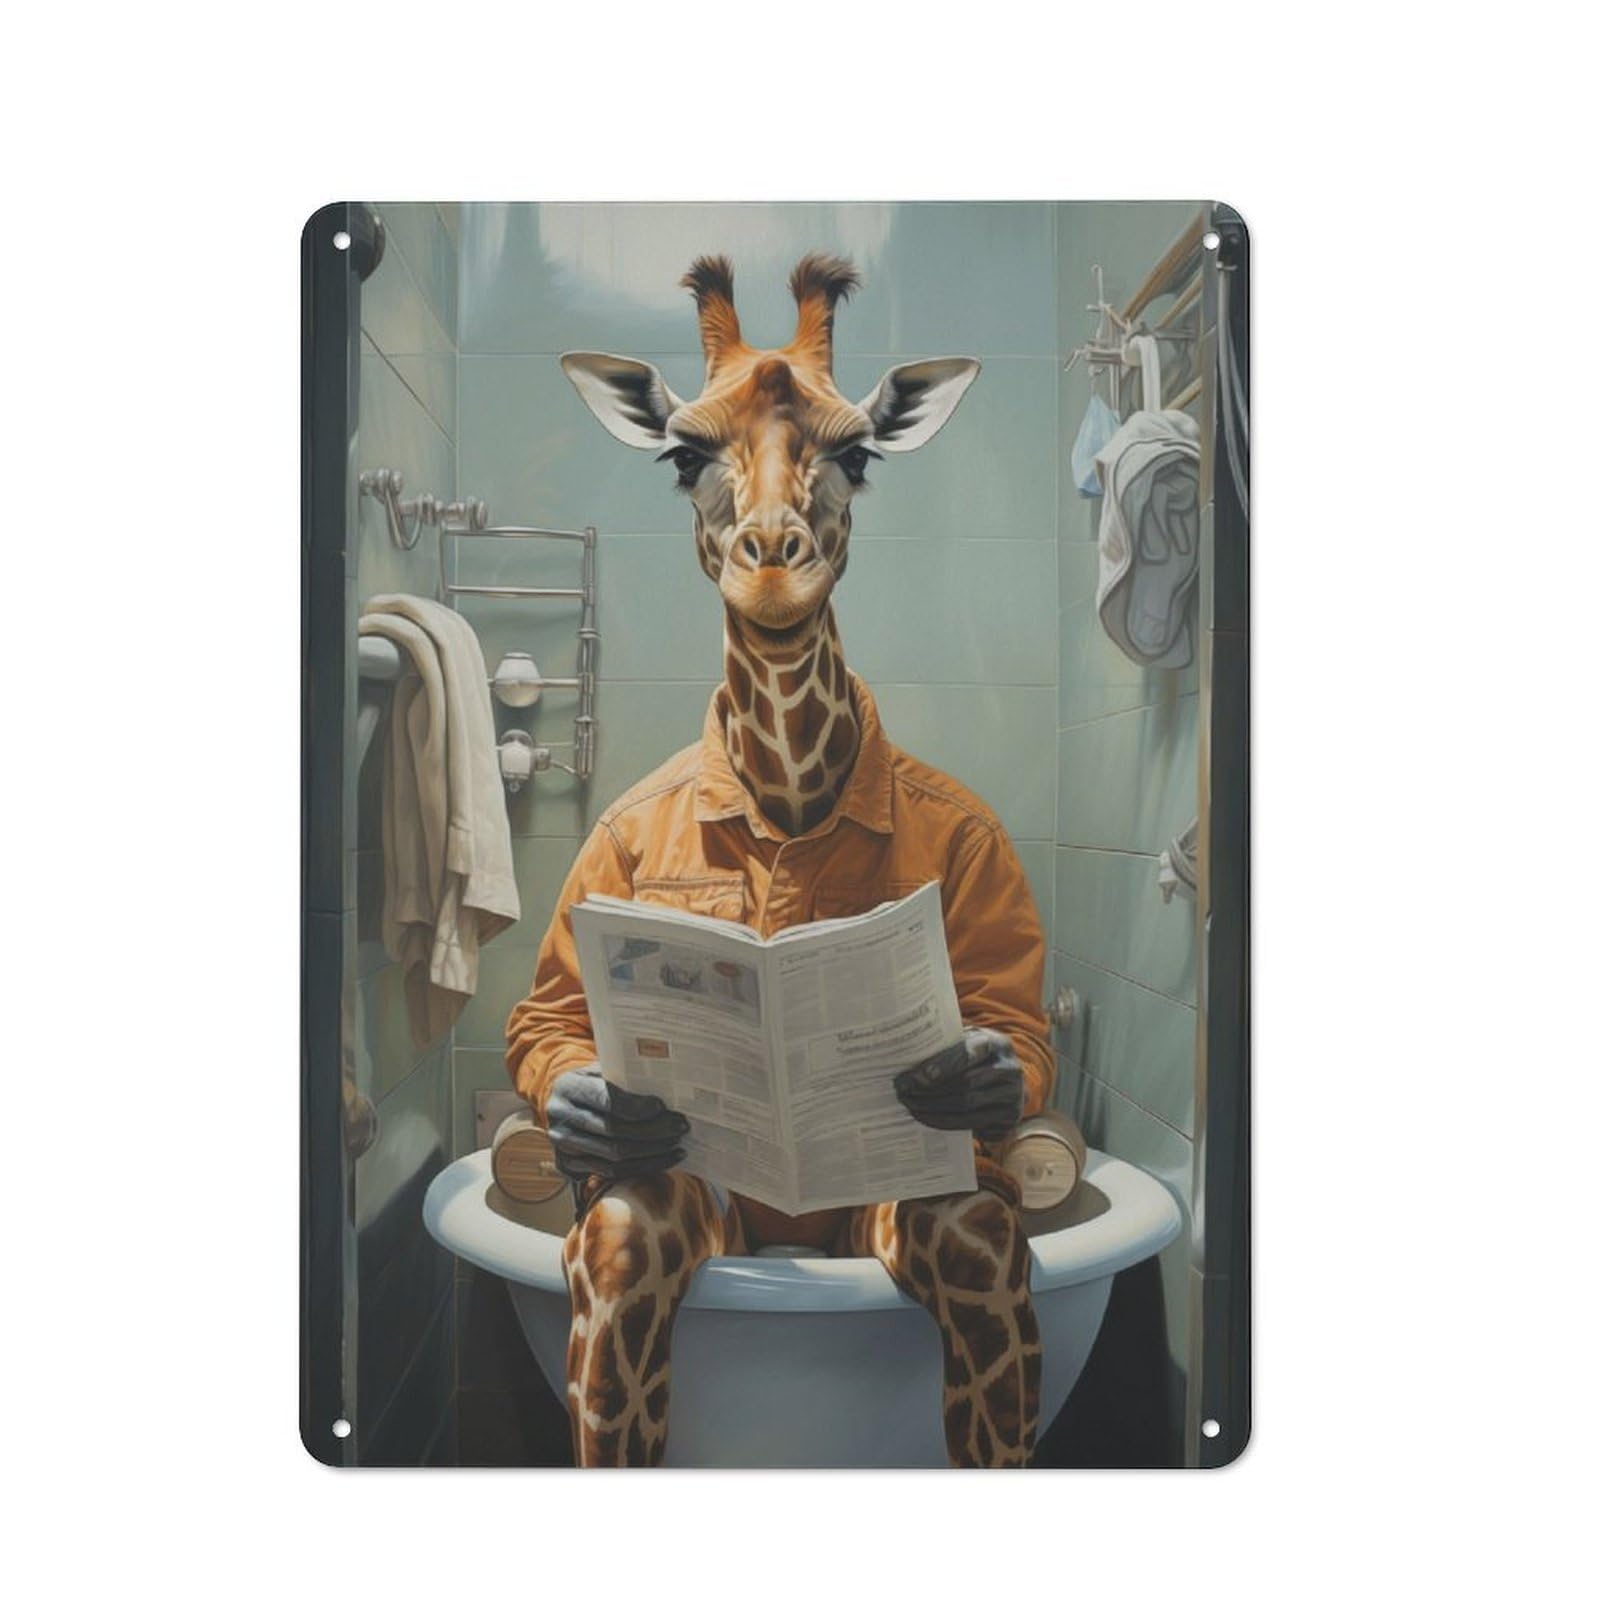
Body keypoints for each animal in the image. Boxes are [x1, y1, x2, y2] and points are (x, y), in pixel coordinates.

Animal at [555, 254, 1041, 1467]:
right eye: (682, 455)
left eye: (857, 453)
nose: (772, 575)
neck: (783, 802)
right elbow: (547, 1015)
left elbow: (1012, 1016)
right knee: (632, 1227)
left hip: (930, 1218)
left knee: (962, 1222)